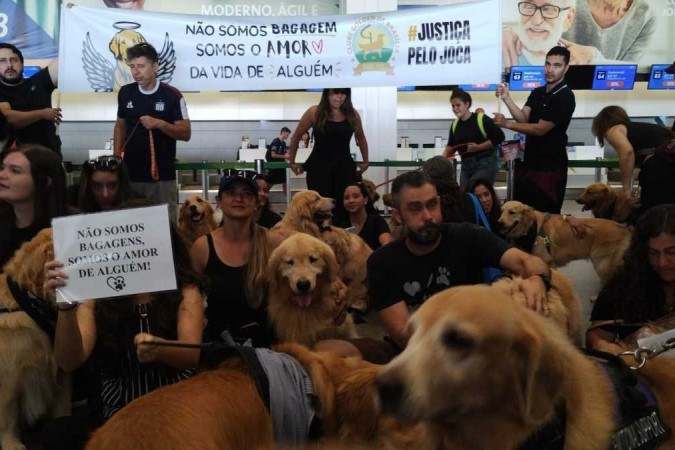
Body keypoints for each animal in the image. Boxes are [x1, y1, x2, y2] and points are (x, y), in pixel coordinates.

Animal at [496, 201, 632, 284]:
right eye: (501, 211)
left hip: (602, 264)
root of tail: (623, 227)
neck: (530, 228)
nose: (499, 223)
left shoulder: (547, 261)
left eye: (512, 212)